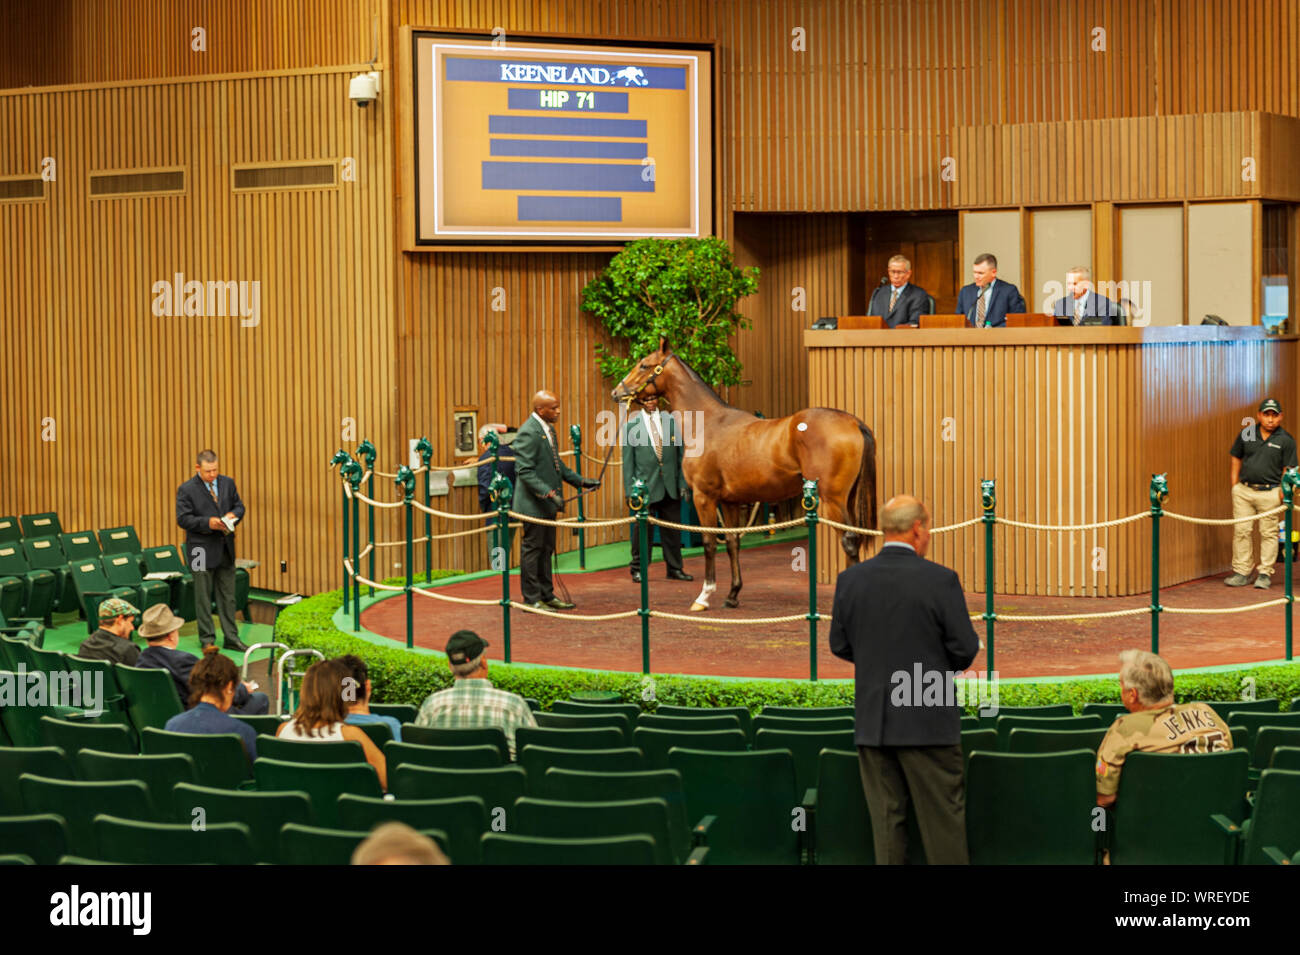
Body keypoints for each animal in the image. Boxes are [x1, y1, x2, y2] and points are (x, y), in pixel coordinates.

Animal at [611, 340, 878, 608]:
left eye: (644, 364)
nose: (616, 392)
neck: (708, 424)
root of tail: (853, 422)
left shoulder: (704, 497)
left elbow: (709, 543)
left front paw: (704, 596)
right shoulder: (730, 501)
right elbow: (732, 542)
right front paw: (732, 594)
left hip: (832, 499)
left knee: (849, 540)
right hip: (847, 498)